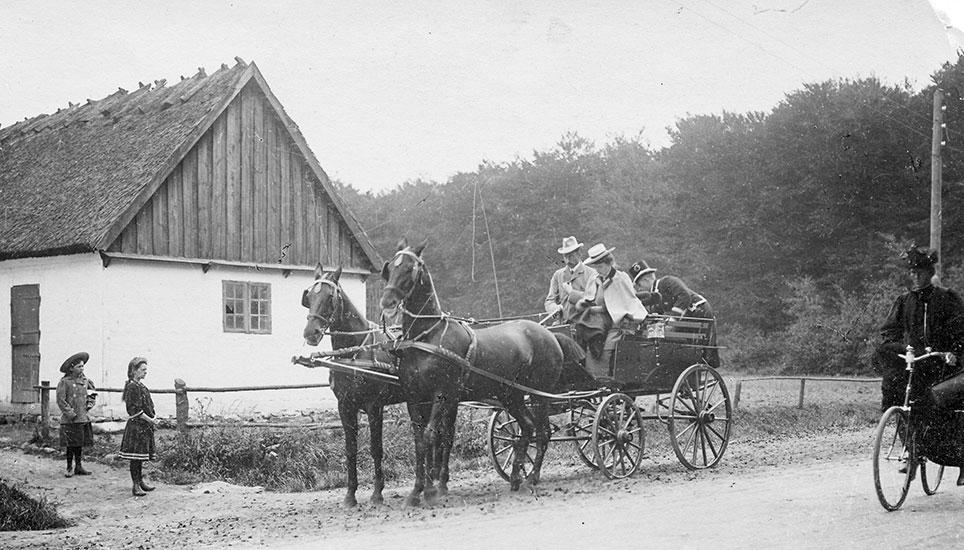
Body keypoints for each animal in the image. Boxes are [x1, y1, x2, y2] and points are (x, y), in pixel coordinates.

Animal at [304, 264, 404, 508]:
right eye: (308, 296)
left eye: (330, 297)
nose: (310, 333)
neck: (353, 353)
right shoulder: (345, 406)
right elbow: (350, 450)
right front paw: (350, 495)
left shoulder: (374, 406)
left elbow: (375, 448)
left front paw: (377, 492)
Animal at [378, 239, 564, 506]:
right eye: (390, 267)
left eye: (410, 268)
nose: (387, 303)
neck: (427, 338)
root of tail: (550, 335)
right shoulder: (415, 397)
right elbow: (420, 441)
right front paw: (417, 492)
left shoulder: (442, 395)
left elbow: (431, 436)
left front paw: (431, 490)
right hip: (512, 395)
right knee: (527, 428)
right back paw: (516, 478)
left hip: (540, 395)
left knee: (543, 432)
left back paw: (531, 479)